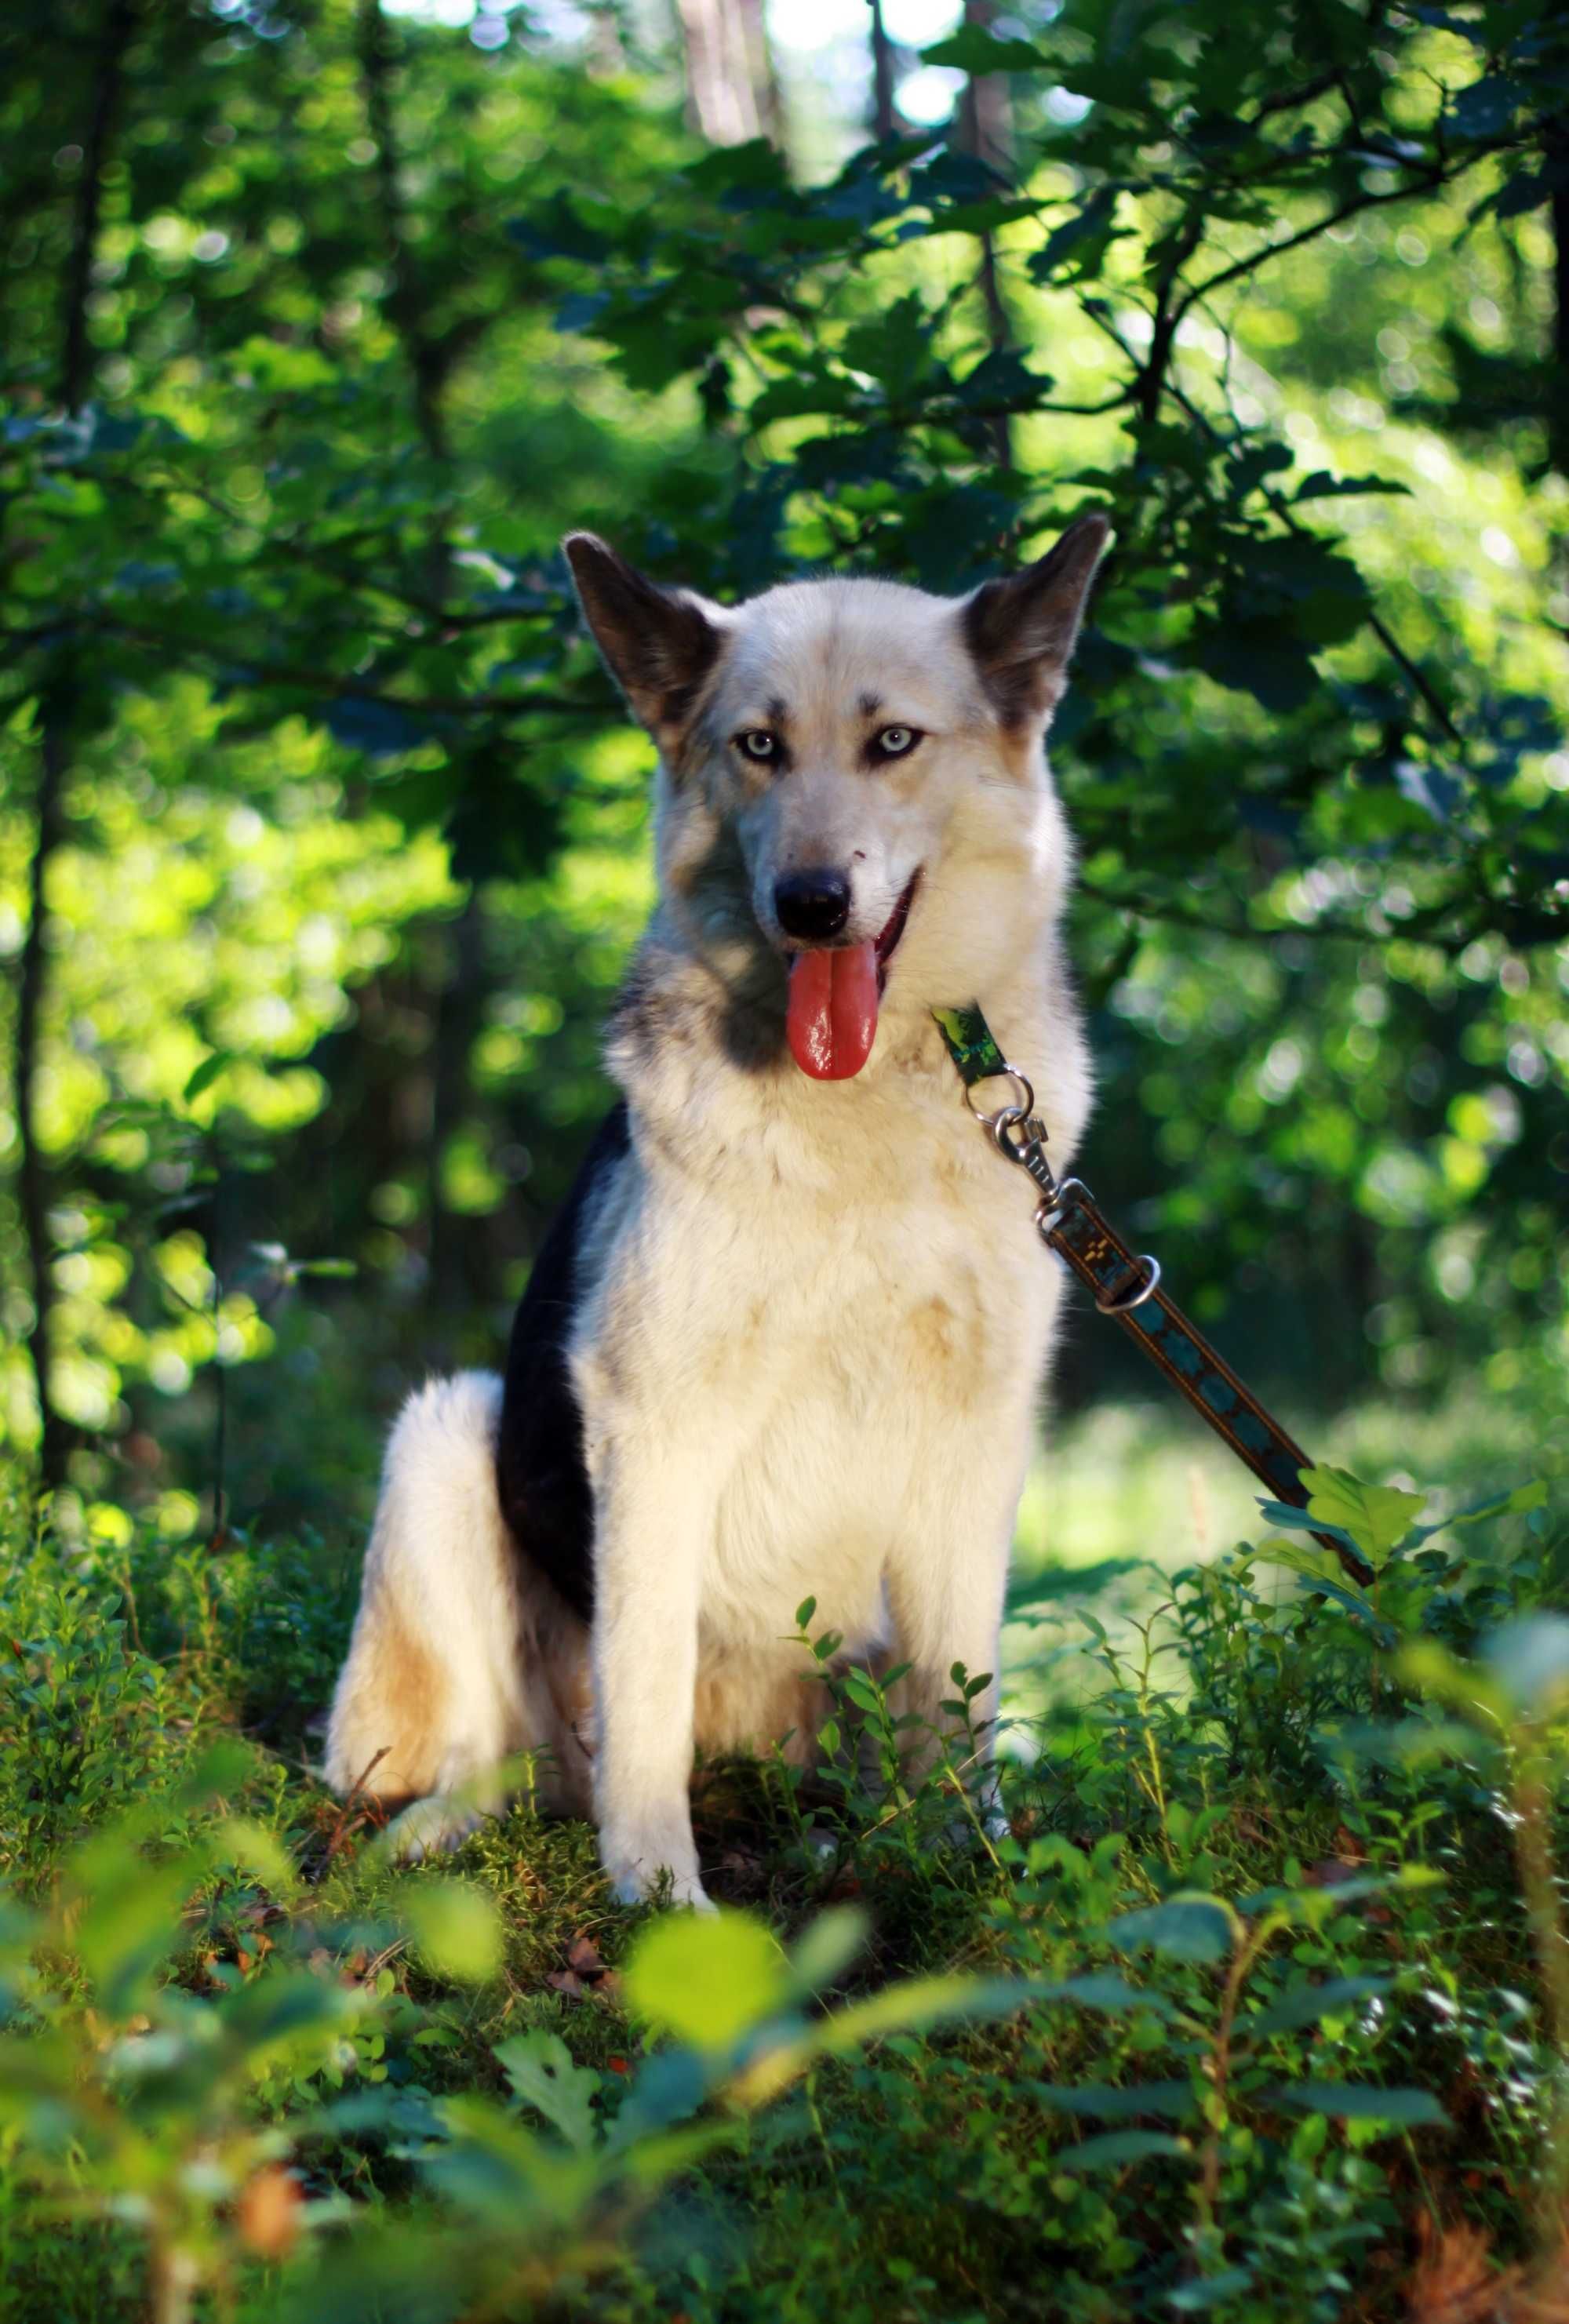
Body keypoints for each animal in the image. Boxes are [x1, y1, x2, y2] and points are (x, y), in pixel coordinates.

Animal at [322, 522, 1106, 1905]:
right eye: (759, 746)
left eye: (893, 741)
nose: (810, 903)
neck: (860, 1123)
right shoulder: (651, 1422)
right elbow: (642, 1686)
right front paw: (661, 1897)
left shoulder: (980, 1430)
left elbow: (962, 1692)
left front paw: (974, 1868)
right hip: (447, 1428)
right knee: (510, 1753)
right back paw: (448, 1829)